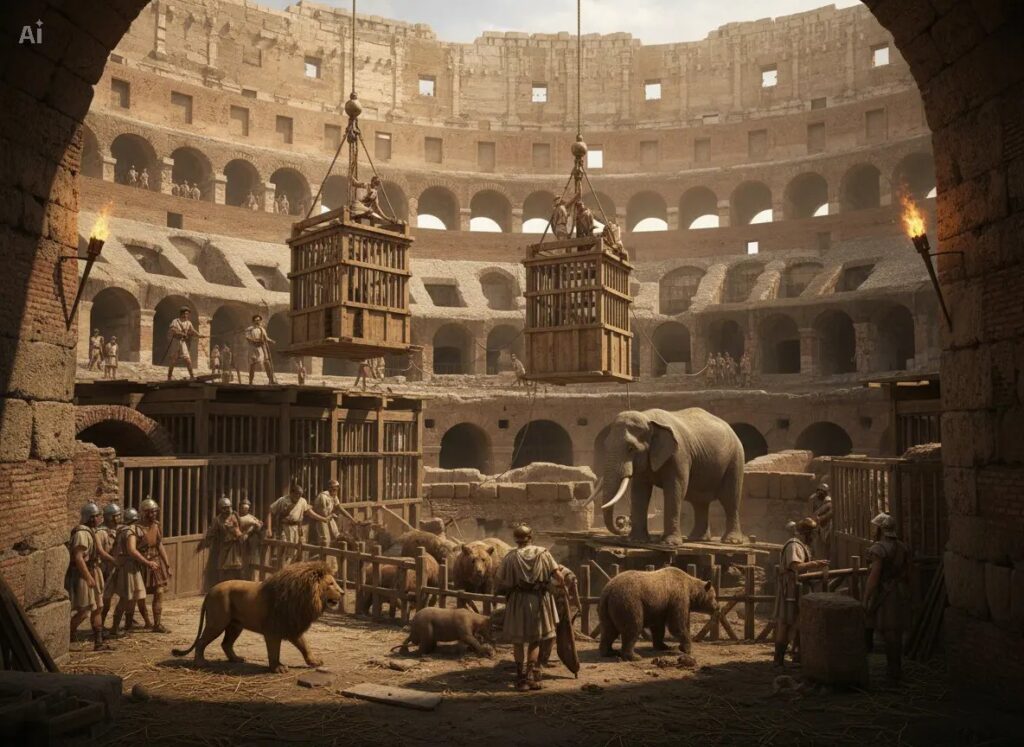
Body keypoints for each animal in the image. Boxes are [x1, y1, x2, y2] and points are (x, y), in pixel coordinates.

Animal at [599, 408, 745, 546]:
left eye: (631, 448)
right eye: (605, 446)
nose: (622, 522)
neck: (648, 417)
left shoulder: (679, 455)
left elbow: (675, 489)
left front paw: (669, 543)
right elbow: (639, 492)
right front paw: (637, 541)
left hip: (735, 459)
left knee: (730, 498)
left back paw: (731, 541)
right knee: (699, 502)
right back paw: (696, 538)